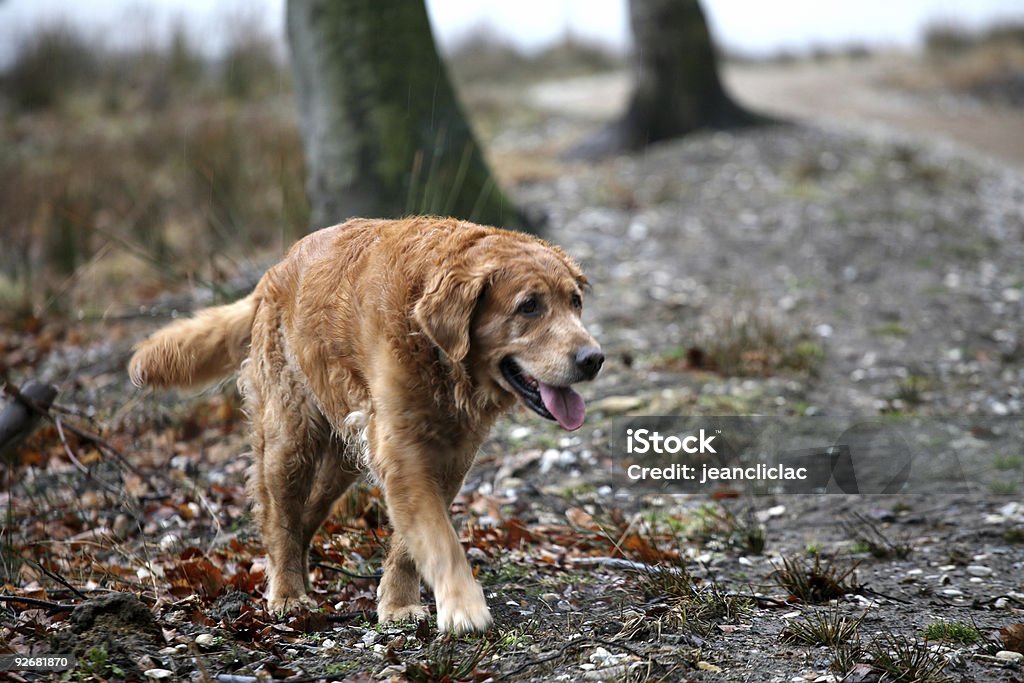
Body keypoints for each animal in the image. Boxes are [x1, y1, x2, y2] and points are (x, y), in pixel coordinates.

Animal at [131, 216, 602, 634]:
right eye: (529, 306)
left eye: (575, 302)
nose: (593, 359)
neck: (436, 352)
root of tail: (274, 270)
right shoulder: (403, 452)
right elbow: (440, 539)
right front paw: (463, 607)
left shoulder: (449, 458)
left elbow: (411, 544)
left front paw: (398, 604)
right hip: (290, 440)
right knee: (279, 518)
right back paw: (287, 592)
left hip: (343, 459)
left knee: (305, 517)